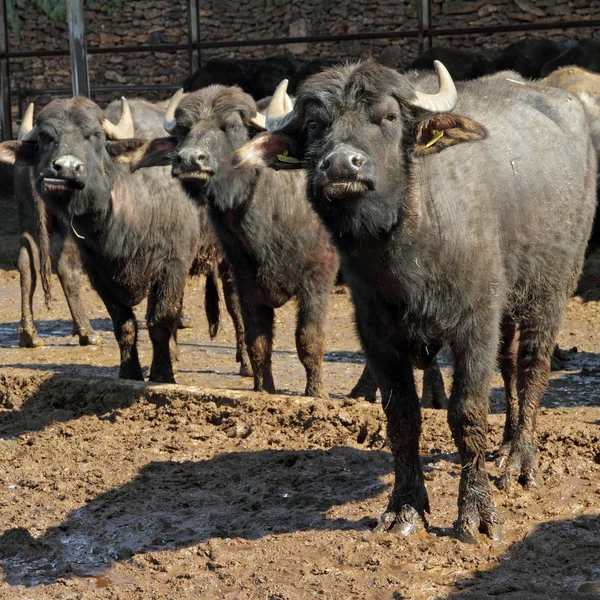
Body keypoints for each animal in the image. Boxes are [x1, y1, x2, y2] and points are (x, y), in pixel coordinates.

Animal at [0, 96, 200, 382]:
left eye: (94, 135)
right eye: (46, 137)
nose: (65, 169)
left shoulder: (173, 262)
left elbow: (160, 318)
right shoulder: (99, 273)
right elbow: (127, 325)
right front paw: (144, 373)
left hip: (29, 221)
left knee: (27, 265)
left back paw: (30, 335)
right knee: (64, 268)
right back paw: (86, 332)